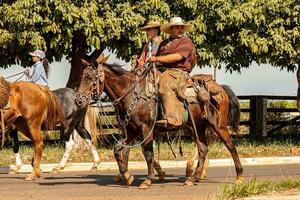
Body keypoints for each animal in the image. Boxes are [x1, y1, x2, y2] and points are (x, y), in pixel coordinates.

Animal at [76, 54, 243, 188]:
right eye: (82, 76)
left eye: (92, 78)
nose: (79, 100)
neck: (133, 94)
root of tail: (220, 88)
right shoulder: (130, 131)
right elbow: (118, 150)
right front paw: (127, 176)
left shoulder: (146, 129)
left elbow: (148, 153)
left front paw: (148, 179)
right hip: (197, 126)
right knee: (203, 149)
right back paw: (193, 178)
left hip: (218, 125)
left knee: (230, 145)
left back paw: (239, 176)